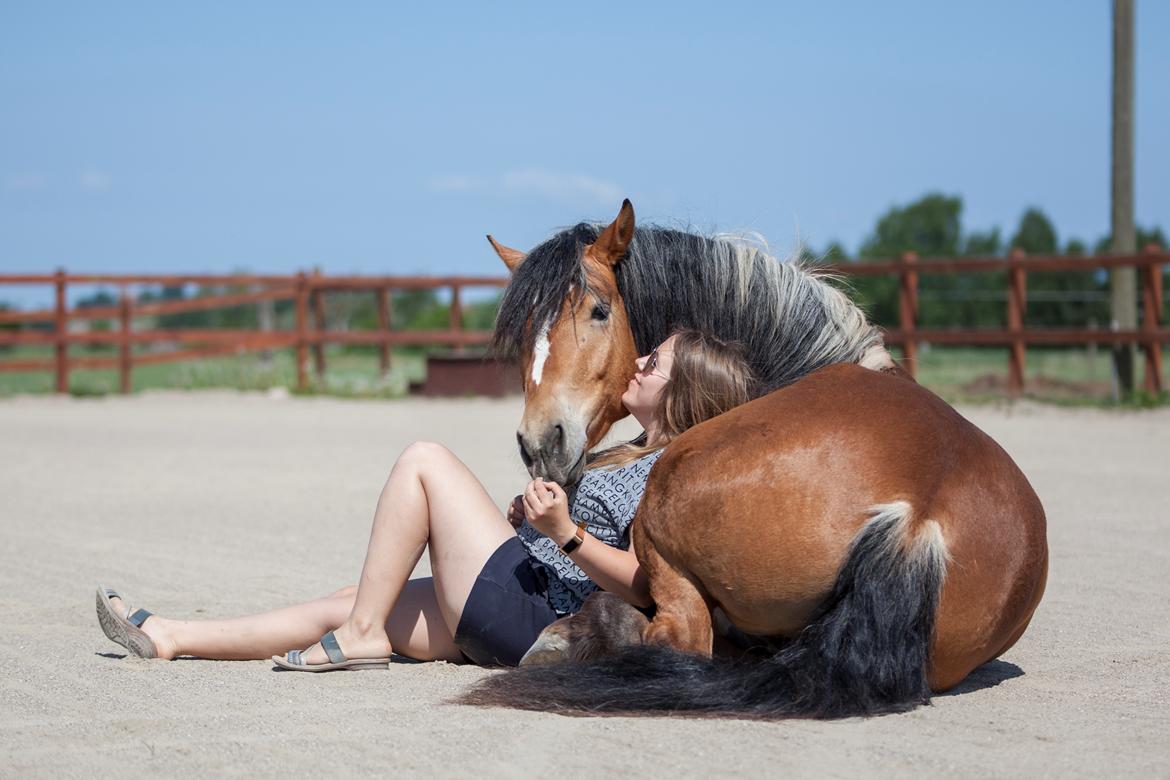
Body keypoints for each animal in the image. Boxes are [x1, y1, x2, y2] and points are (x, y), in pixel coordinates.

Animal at [460, 203, 1048, 720]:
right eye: (525, 329)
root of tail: (915, 522)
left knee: (676, 637)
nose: (541, 443)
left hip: (663, 501)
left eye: (599, 311)